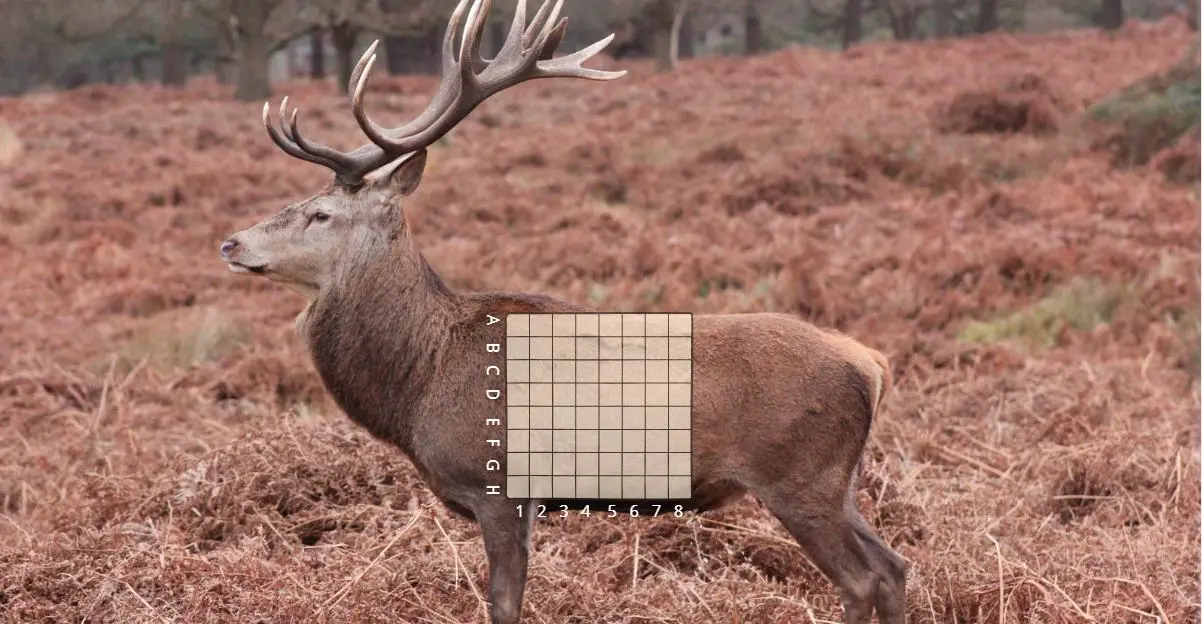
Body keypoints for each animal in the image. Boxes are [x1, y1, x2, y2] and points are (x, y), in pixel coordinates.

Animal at [218, 1, 909, 622]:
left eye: (320, 214)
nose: (231, 243)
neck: (419, 384)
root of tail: (872, 365)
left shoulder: (496, 483)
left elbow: (503, 603)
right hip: (839, 481)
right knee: (895, 566)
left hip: (800, 476)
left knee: (862, 579)